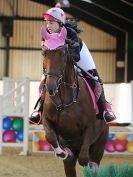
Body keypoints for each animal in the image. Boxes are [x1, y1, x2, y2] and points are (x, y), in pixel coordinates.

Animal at [40, 26, 109, 177]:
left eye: (62, 53)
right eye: (44, 53)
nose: (50, 87)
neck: (65, 98)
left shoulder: (90, 128)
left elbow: (84, 160)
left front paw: (89, 165)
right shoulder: (47, 119)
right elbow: (50, 137)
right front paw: (63, 152)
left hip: (99, 145)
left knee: (91, 158)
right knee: (71, 162)